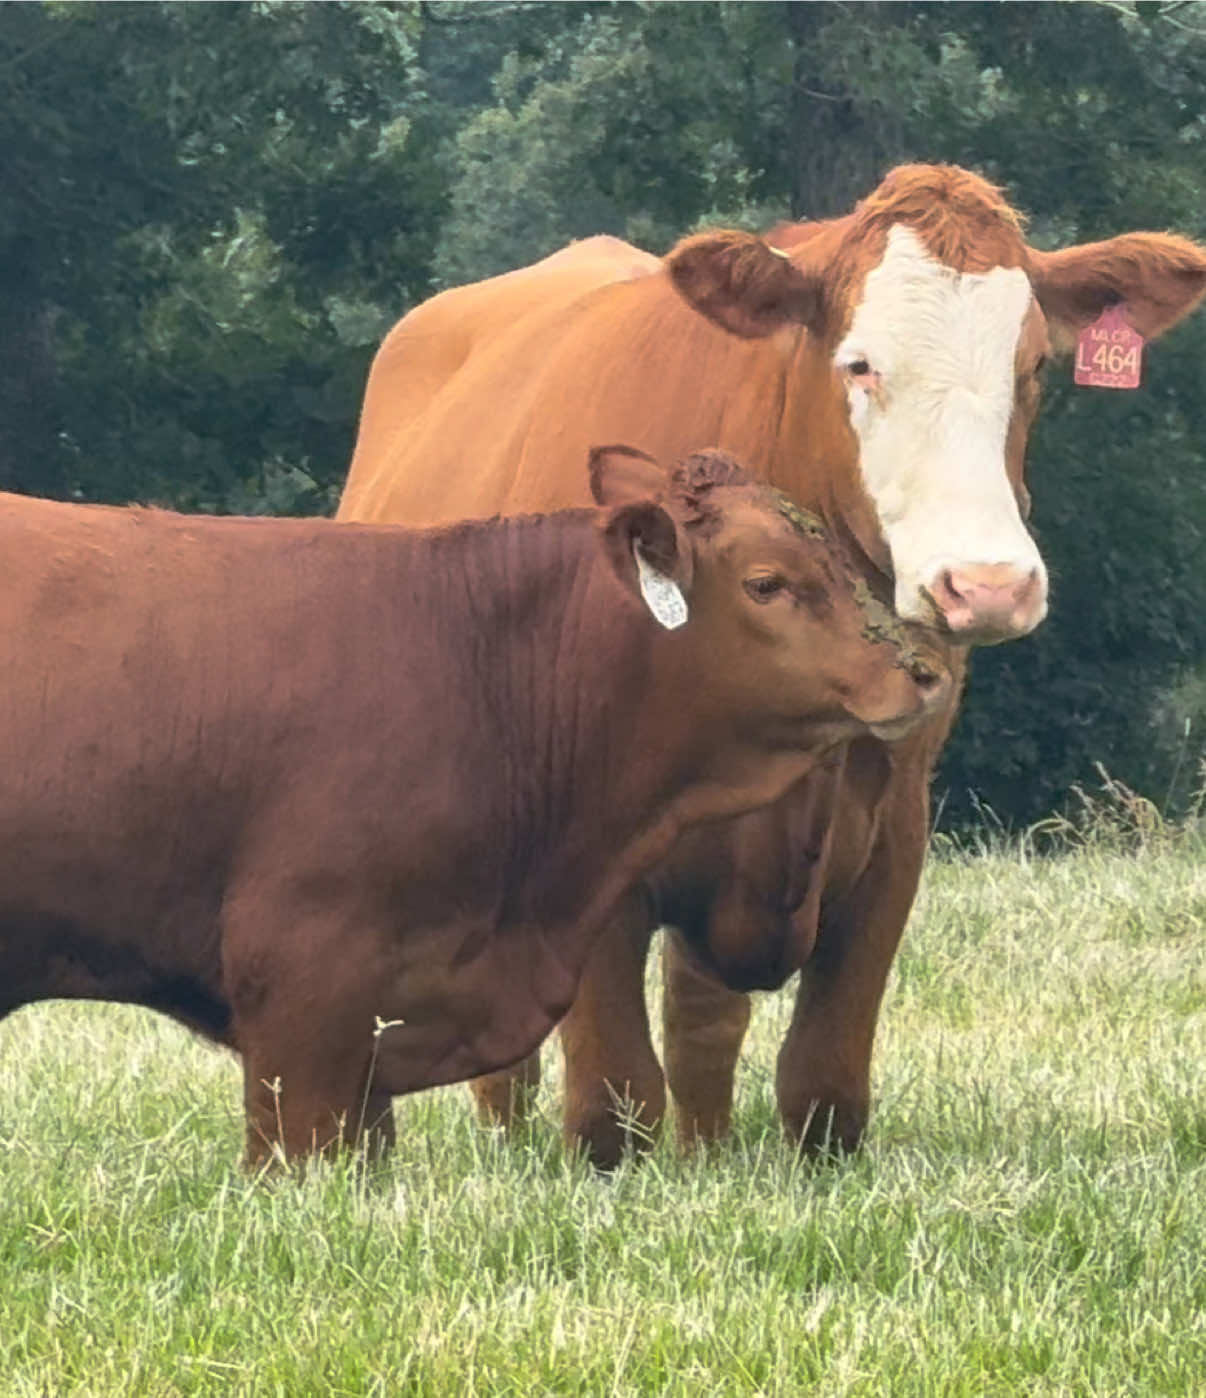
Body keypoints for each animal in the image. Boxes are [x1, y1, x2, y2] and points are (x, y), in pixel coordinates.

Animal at [338, 163, 1206, 1168]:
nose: (986, 584)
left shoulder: (894, 822)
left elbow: (822, 1080)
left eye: (1031, 368)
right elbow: (613, 1099)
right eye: (859, 365)